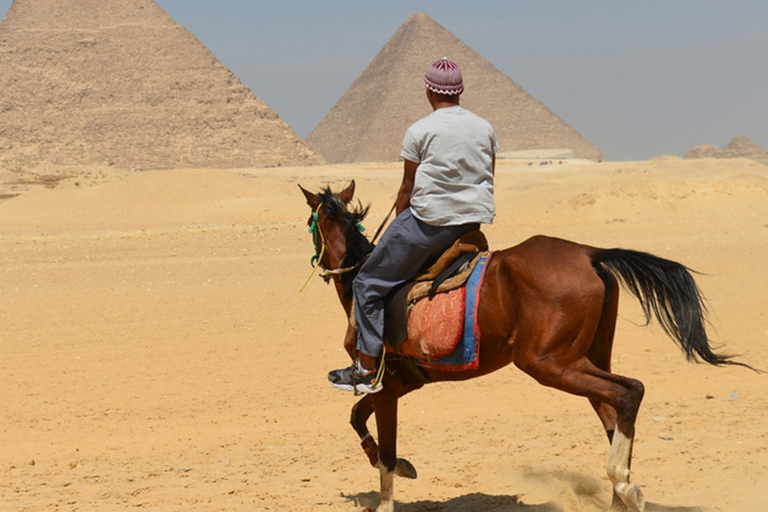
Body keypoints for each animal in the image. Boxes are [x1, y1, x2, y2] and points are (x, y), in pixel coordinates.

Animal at [300, 181, 752, 512]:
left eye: (309, 221)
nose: (318, 263)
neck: (360, 278)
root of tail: (590, 254)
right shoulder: (406, 381)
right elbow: (357, 419)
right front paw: (401, 466)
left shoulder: (385, 382)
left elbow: (385, 449)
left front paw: (389, 488)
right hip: (586, 357)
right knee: (613, 406)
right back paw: (620, 494)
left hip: (548, 363)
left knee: (629, 391)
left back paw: (624, 484)